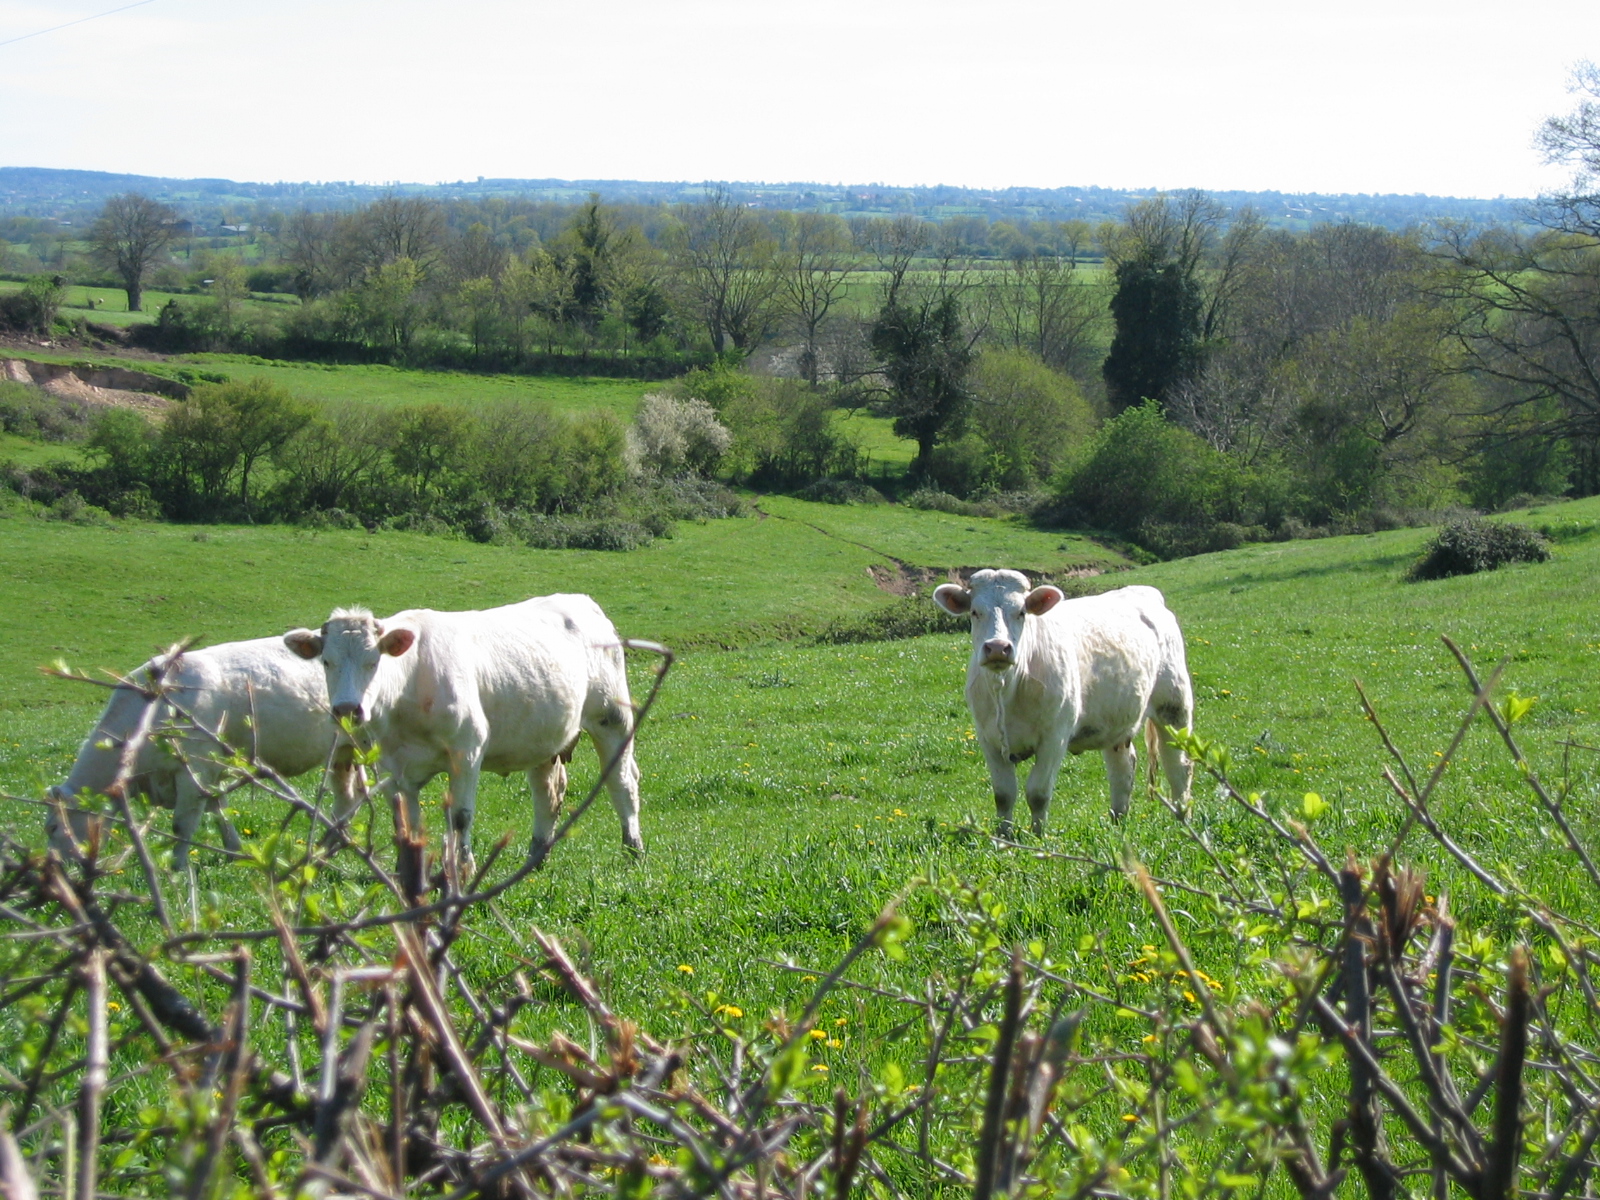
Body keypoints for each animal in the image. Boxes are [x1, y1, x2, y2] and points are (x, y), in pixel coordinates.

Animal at [47, 638, 367, 861]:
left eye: (53, 827)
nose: (56, 867)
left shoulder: (194, 769)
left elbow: (183, 825)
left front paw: (177, 870)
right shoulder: (209, 771)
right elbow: (218, 810)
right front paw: (235, 852)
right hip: (343, 752)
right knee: (348, 797)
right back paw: (330, 845)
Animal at [281, 595, 644, 860]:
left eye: (374, 662)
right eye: (326, 661)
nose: (346, 709)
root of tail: (581, 601)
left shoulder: (468, 749)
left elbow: (460, 817)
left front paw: (464, 867)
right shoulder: (389, 766)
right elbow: (407, 825)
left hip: (612, 717)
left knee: (622, 782)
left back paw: (633, 848)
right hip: (542, 735)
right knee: (548, 791)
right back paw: (536, 856)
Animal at [933, 572, 1193, 834]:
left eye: (1021, 612)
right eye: (975, 612)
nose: (997, 647)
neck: (1007, 691)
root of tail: (1144, 592)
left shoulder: (1054, 736)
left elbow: (1038, 792)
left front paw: (1038, 835)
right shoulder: (988, 738)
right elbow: (1003, 794)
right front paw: (1003, 835)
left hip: (1174, 705)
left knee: (1179, 766)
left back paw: (1183, 818)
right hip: (1117, 719)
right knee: (1123, 766)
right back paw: (1118, 820)